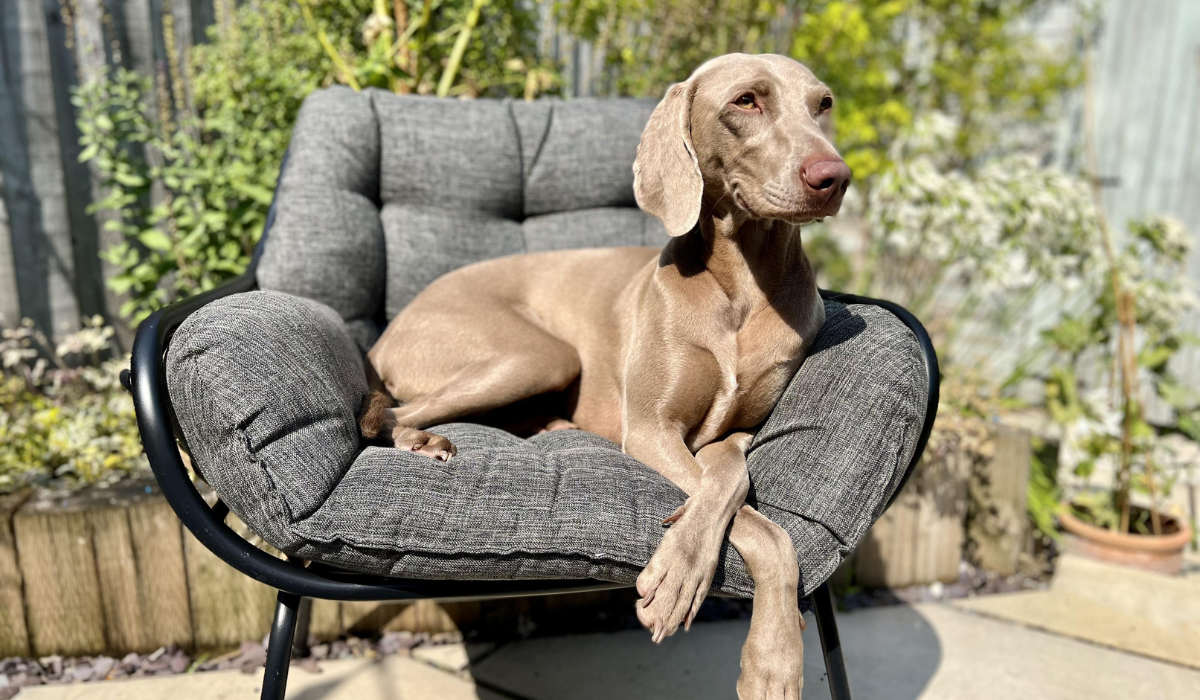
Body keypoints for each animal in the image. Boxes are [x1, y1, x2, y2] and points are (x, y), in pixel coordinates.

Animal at [360, 53, 849, 696]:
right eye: (746, 100)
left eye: (824, 104)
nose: (834, 177)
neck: (741, 283)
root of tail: (390, 328)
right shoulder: (648, 430)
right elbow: (765, 530)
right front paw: (768, 654)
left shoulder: (737, 433)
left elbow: (732, 484)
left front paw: (753, 630)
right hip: (538, 354)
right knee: (392, 410)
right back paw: (423, 441)